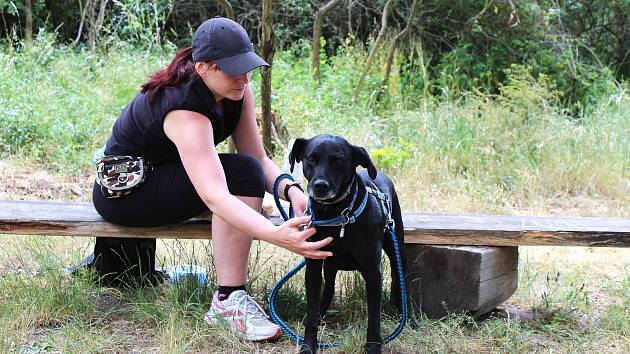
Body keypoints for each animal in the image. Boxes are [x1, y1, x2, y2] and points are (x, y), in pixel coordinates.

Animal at [290, 134, 408, 352]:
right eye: (311, 158)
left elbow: (374, 318)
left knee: (400, 283)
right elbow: (311, 312)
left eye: (338, 160)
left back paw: (410, 318)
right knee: (328, 288)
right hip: (329, 265)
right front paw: (308, 346)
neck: (337, 215)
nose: (320, 186)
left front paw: (373, 347)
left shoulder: (373, 273)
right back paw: (321, 314)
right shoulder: (313, 267)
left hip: (398, 252)